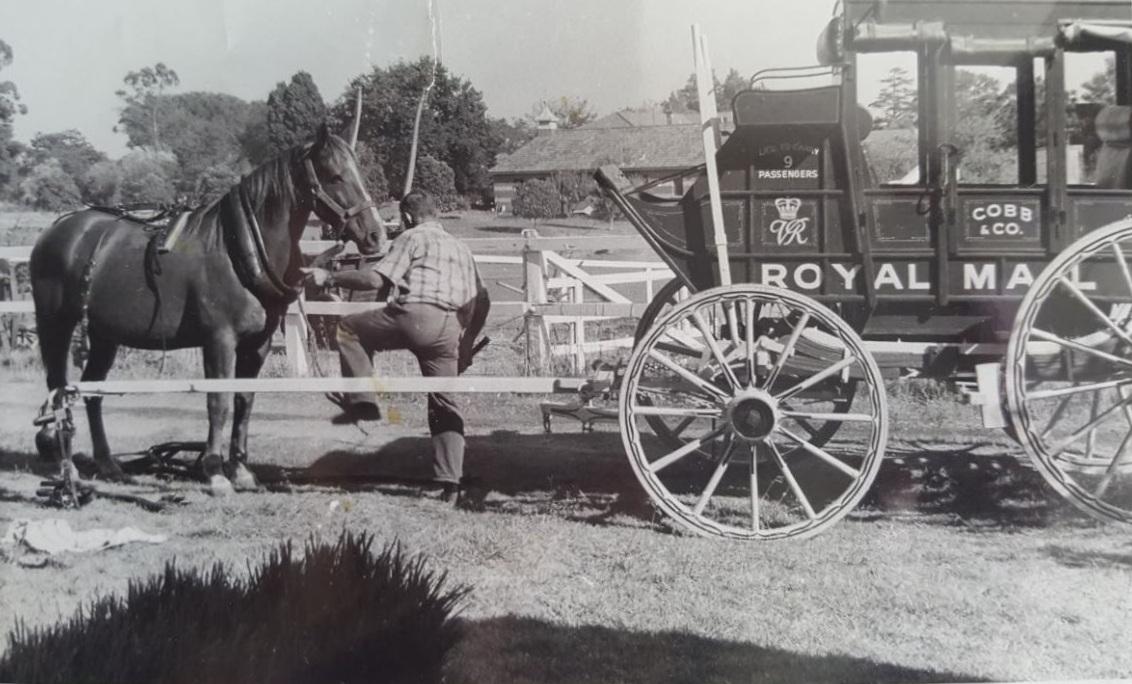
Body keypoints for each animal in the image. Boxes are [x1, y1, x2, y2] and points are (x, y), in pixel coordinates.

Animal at [30, 125, 387, 493]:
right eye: (335, 176)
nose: (376, 234)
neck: (236, 250)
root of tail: (56, 230)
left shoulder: (257, 344)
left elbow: (244, 400)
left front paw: (240, 470)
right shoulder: (219, 340)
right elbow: (219, 401)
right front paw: (215, 472)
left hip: (104, 334)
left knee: (92, 391)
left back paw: (108, 464)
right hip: (55, 324)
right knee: (59, 389)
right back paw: (69, 469)